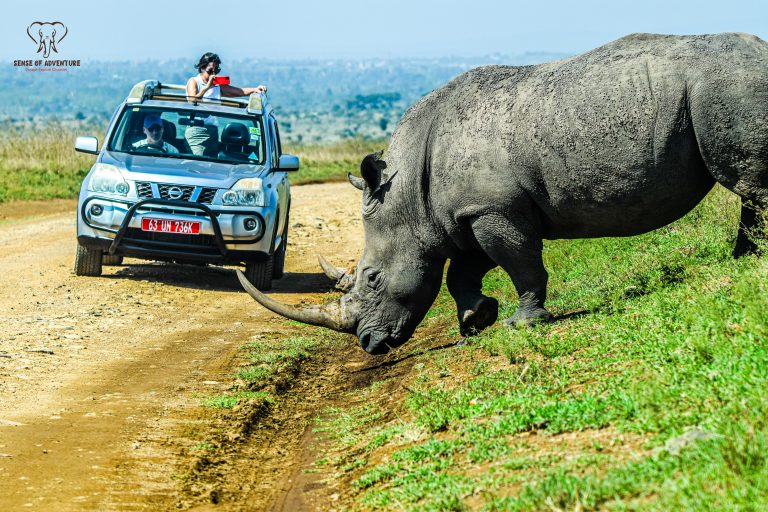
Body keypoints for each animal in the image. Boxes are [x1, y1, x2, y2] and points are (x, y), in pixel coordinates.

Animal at [238, 33, 768, 354]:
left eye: (372, 279)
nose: (369, 343)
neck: (407, 194)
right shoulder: (466, 213)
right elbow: (461, 272)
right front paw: (477, 320)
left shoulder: (494, 209)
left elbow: (519, 263)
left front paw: (522, 323)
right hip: (723, 88)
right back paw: (744, 259)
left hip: (727, 85)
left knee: (748, 182)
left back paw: (748, 260)